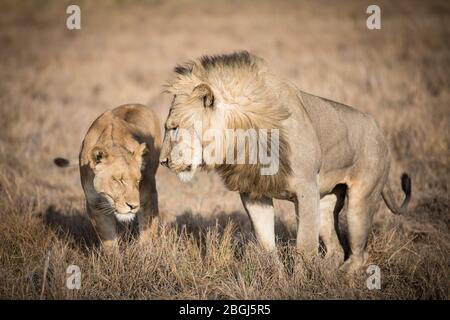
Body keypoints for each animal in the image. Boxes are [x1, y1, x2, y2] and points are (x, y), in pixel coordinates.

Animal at [56, 105, 161, 248]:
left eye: (138, 180)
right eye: (117, 180)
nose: (133, 206)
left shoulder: (148, 196)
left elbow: (147, 232)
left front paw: (146, 251)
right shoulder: (95, 205)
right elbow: (108, 240)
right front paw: (113, 254)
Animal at [160, 51, 414, 272]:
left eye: (174, 128)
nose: (162, 161)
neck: (244, 137)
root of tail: (380, 132)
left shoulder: (306, 190)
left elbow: (305, 248)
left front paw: (301, 283)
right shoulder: (254, 194)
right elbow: (266, 244)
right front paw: (277, 276)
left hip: (360, 200)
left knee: (359, 254)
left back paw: (342, 276)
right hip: (326, 201)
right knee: (335, 248)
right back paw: (329, 273)